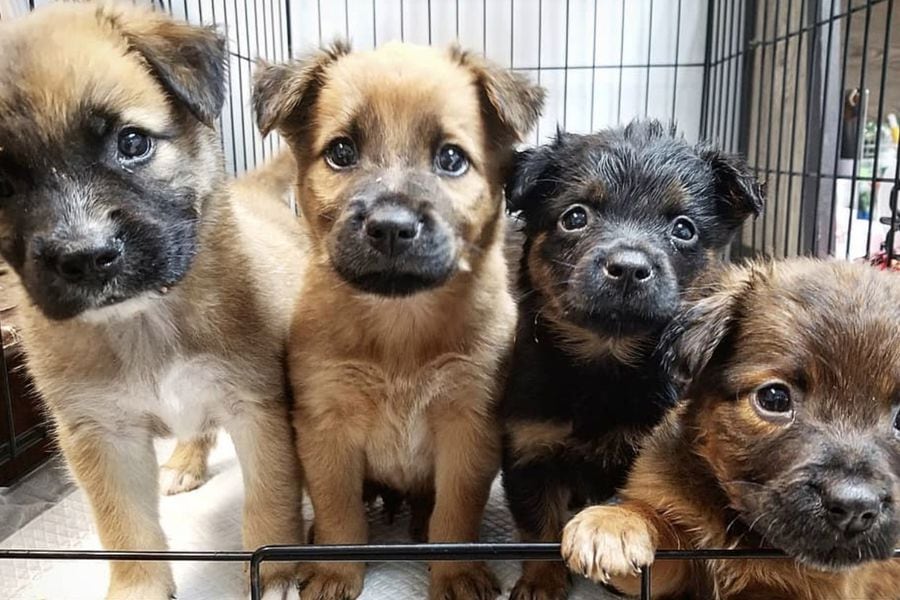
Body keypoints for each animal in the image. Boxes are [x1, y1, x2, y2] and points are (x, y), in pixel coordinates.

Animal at [0, 4, 306, 600]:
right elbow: (126, 529)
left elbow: (271, 499)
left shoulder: (258, 409)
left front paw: (277, 571)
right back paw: (185, 460)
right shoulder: (102, 437)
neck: (145, 319)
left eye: (132, 142)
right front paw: (138, 589)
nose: (86, 257)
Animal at [255, 43, 540, 600]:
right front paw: (336, 572)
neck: (398, 328)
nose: (390, 227)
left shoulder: (467, 425)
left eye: (450, 159)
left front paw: (453, 574)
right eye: (342, 152)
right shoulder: (326, 429)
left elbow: (455, 515)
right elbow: (339, 513)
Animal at [502, 122, 764, 600]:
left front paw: (615, 532)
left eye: (683, 229)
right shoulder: (530, 450)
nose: (627, 267)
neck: (606, 361)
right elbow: (538, 526)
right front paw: (540, 582)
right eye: (575, 217)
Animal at [564, 258, 900, 600]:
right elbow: (659, 527)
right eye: (774, 398)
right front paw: (615, 522)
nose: (854, 508)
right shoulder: (678, 564)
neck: (738, 526)